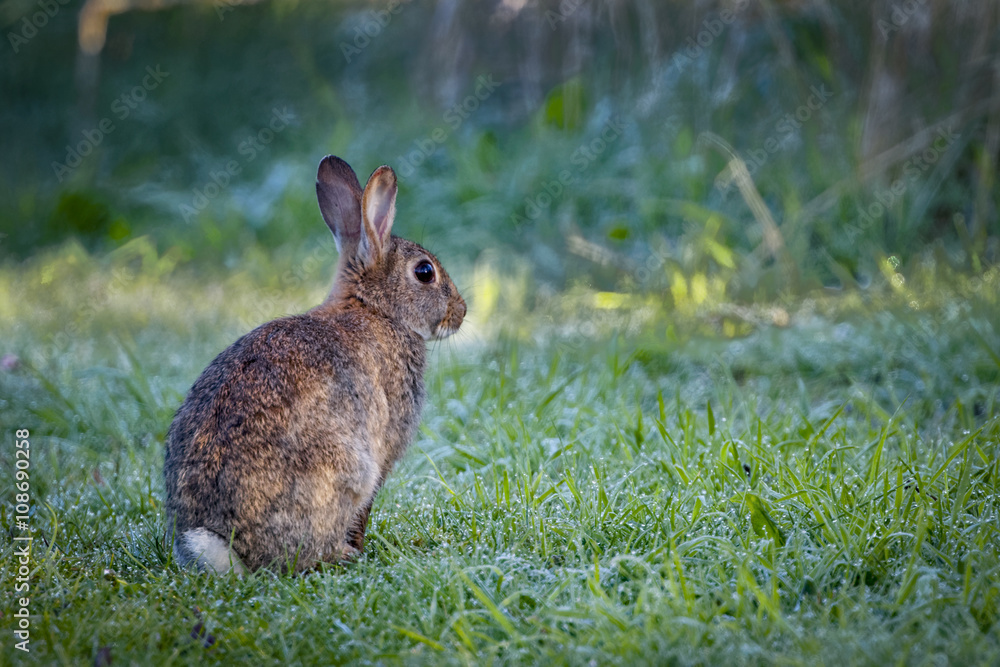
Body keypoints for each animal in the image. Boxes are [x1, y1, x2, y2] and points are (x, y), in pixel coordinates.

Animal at [163, 155, 466, 574]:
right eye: (425, 272)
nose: (462, 312)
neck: (375, 309)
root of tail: (227, 545)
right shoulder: (383, 449)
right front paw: (360, 545)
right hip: (345, 470)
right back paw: (344, 553)